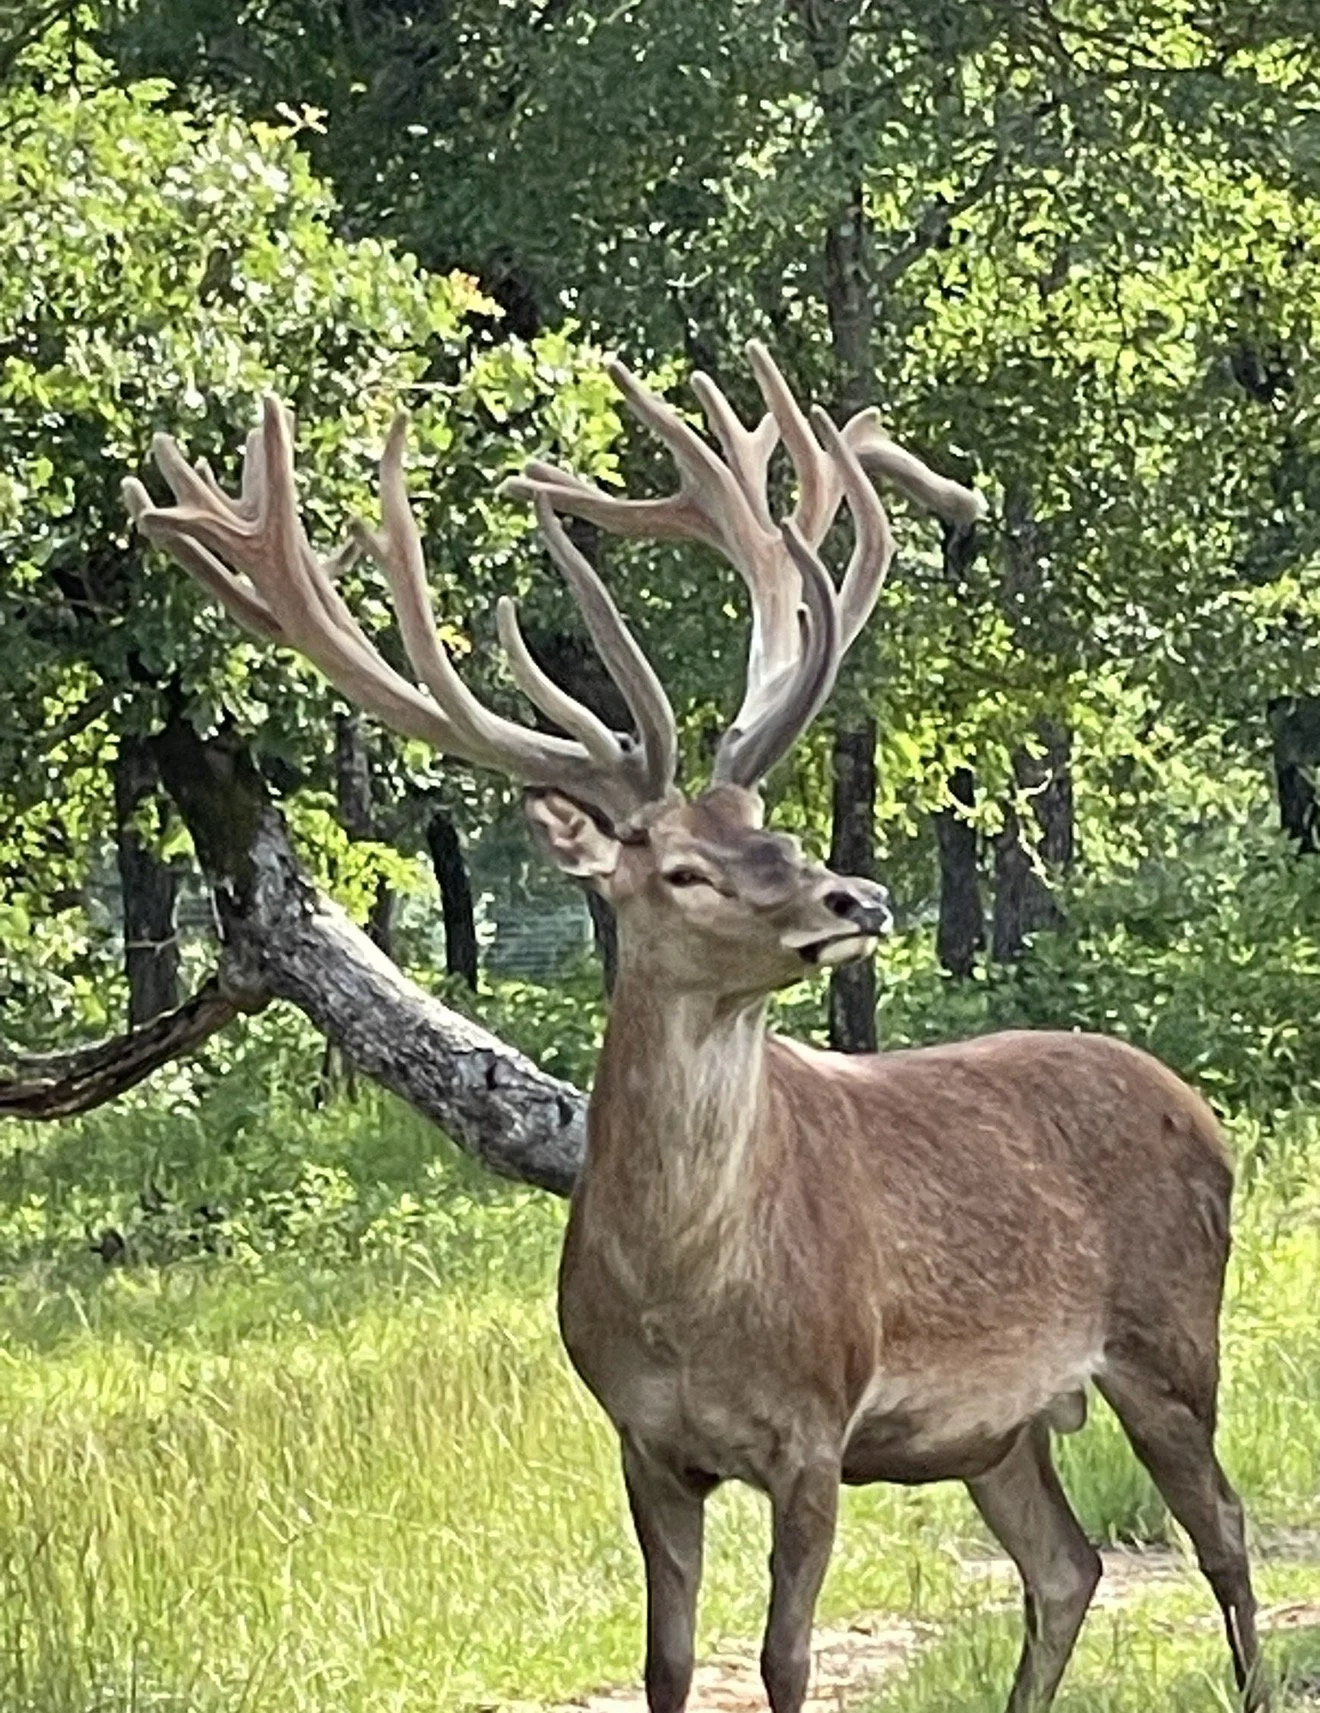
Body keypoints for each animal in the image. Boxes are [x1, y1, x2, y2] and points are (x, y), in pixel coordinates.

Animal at [124, 343, 1265, 1713]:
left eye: (774, 829)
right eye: (680, 867)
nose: (857, 897)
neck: (686, 1300)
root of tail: (1200, 1109)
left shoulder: (818, 1425)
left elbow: (782, 1659)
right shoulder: (641, 1438)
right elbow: (667, 1660)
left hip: (1167, 1338)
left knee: (1224, 1534)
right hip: (996, 1428)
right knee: (1068, 1567)